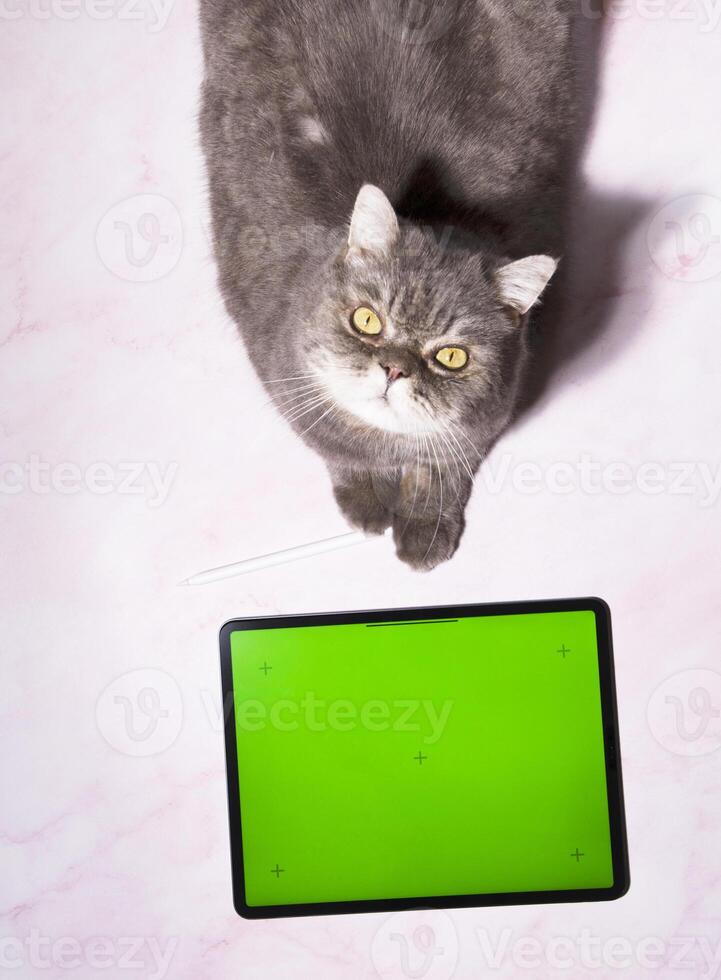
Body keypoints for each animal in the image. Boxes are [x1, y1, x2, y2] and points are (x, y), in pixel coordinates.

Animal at [200, 0, 576, 568]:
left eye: (452, 356)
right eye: (367, 320)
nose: (394, 369)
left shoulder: (482, 426)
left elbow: (443, 472)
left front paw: (425, 527)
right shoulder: (290, 394)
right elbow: (338, 453)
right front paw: (366, 501)